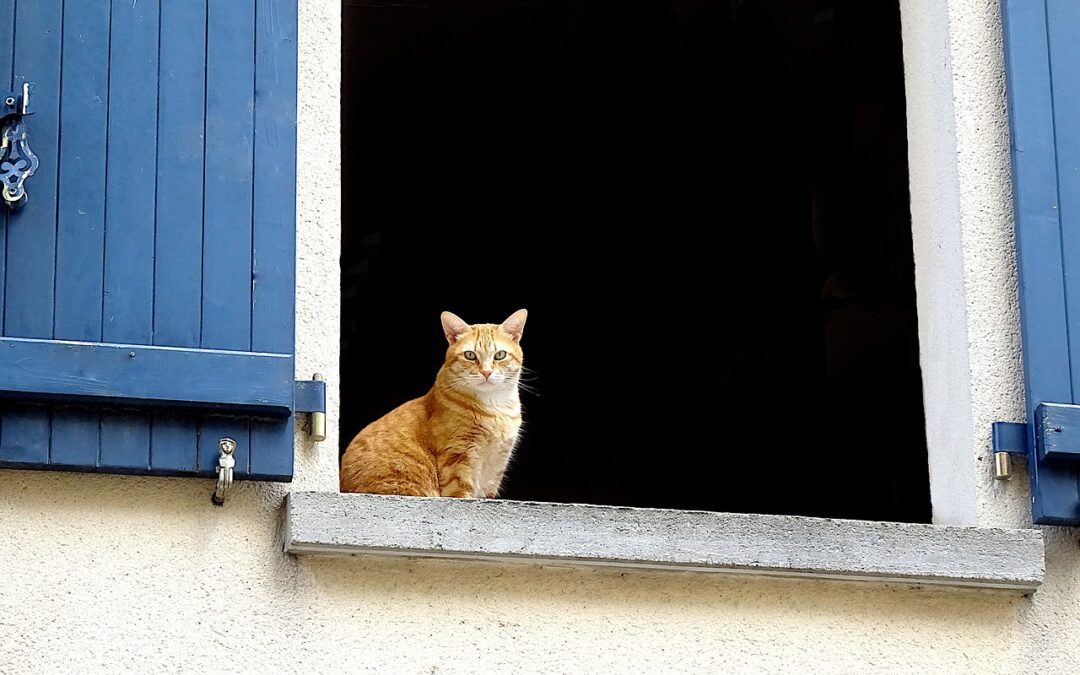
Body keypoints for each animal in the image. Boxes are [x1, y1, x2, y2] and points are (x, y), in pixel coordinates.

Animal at [341, 308, 527, 494]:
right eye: (470, 355)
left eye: (500, 355)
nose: (486, 372)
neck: (495, 407)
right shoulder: (457, 457)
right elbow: (461, 493)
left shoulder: (496, 466)